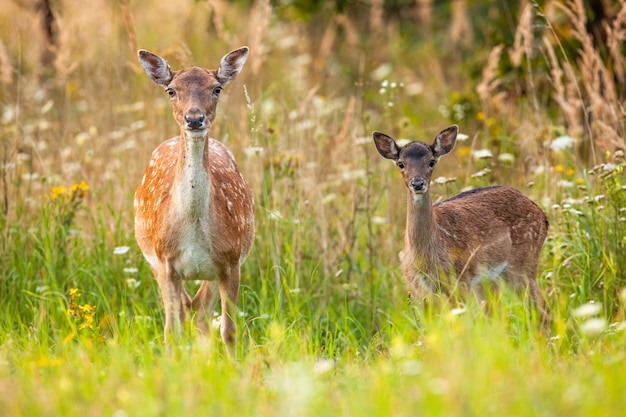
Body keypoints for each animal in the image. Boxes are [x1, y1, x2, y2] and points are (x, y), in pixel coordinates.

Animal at [135, 47, 255, 356]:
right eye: (171, 90)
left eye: (217, 88)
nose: (194, 118)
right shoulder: (165, 262)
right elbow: (170, 331)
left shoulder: (232, 262)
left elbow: (229, 331)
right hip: (152, 261)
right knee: (187, 311)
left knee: (199, 312)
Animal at [370, 125, 544, 326]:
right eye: (400, 164)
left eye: (431, 161)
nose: (418, 183)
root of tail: (542, 214)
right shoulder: (419, 287)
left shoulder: (459, 281)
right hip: (489, 281)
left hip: (524, 264)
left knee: (541, 310)